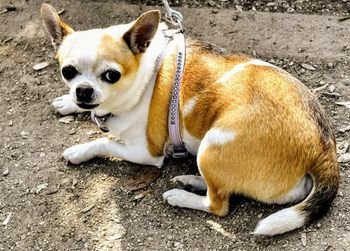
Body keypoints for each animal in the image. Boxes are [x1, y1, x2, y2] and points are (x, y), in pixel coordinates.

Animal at [41, 3, 340, 235]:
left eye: (111, 75)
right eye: (68, 71)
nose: (83, 90)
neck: (146, 71)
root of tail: (323, 149)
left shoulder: (145, 152)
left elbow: (103, 142)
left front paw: (78, 150)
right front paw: (68, 102)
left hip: (213, 144)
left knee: (218, 204)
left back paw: (181, 195)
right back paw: (191, 180)